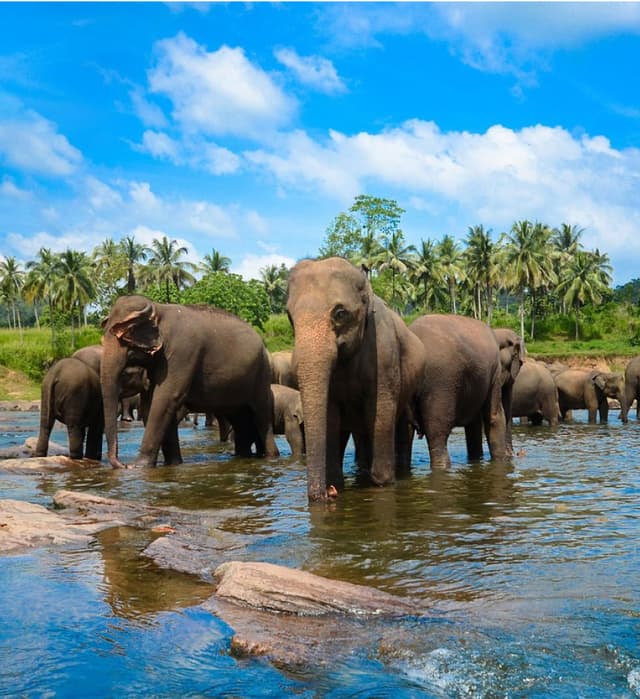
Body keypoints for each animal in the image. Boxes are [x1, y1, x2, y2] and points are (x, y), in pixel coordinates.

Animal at [100, 295, 279, 469]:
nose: (122, 464)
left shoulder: (182, 352)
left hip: (262, 375)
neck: (158, 308)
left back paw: (270, 456)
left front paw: (139, 466)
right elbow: (151, 404)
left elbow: (165, 398)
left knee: (261, 416)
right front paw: (173, 463)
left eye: (127, 335)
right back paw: (243, 456)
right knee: (240, 419)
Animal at [287, 257, 426, 501]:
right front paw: (336, 483)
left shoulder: (384, 354)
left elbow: (380, 411)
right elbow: (331, 417)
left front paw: (382, 483)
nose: (328, 493)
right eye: (289, 317)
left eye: (340, 313)